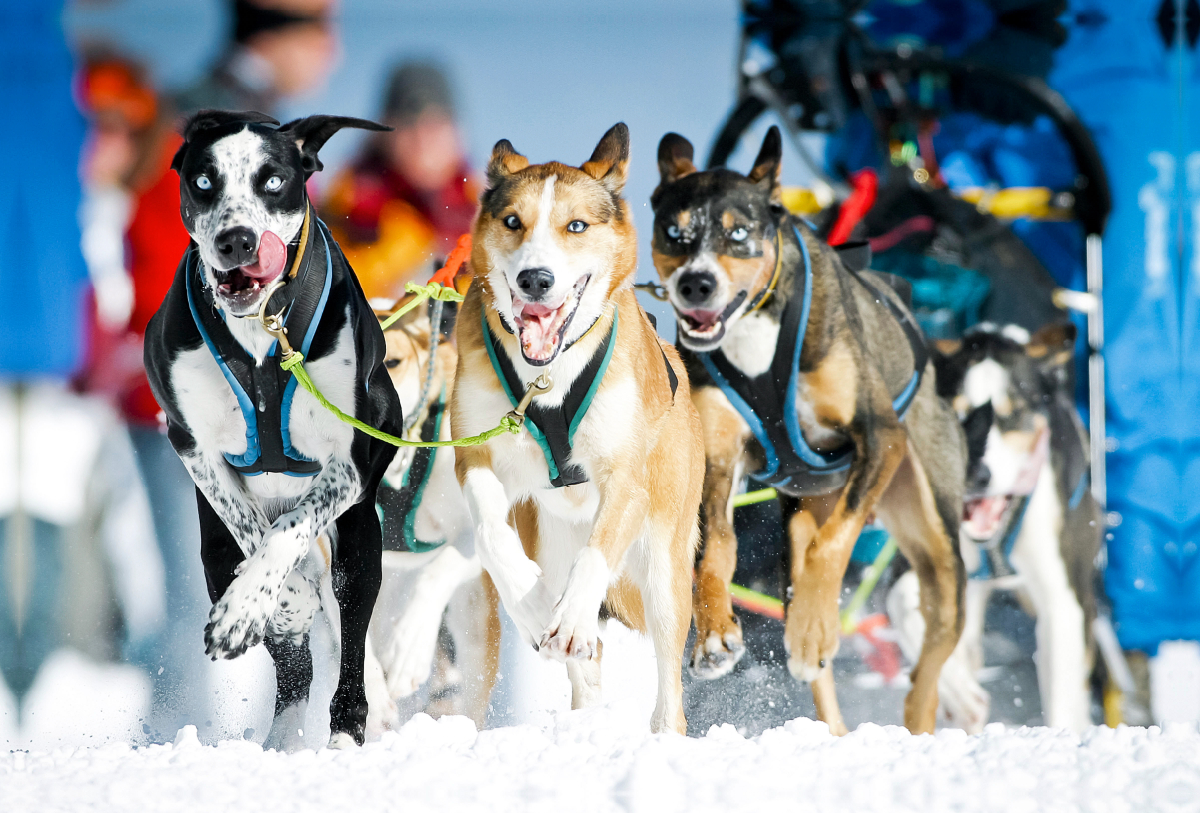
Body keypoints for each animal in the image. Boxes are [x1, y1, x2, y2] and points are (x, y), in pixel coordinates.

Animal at [145, 109, 403, 753]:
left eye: (274, 181)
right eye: (204, 182)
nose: (236, 241)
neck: (263, 335)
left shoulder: (354, 459)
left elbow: (289, 529)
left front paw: (259, 599)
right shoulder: (192, 446)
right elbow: (255, 532)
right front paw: (261, 605)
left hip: (361, 545)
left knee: (349, 628)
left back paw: (345, 729)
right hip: (212, 556)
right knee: (295, 666)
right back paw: (281, 733)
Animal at [453, 122, 705, 738]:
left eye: (576, 226)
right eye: (512, 221)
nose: (535, 279)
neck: (547, 381)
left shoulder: (626, 482)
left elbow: (595, 561)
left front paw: (566, 620)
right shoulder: (473, 457)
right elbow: (491, 532)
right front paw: (532, 606)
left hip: (665, 568)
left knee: (668, 687)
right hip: (549, 539)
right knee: (586, 668)